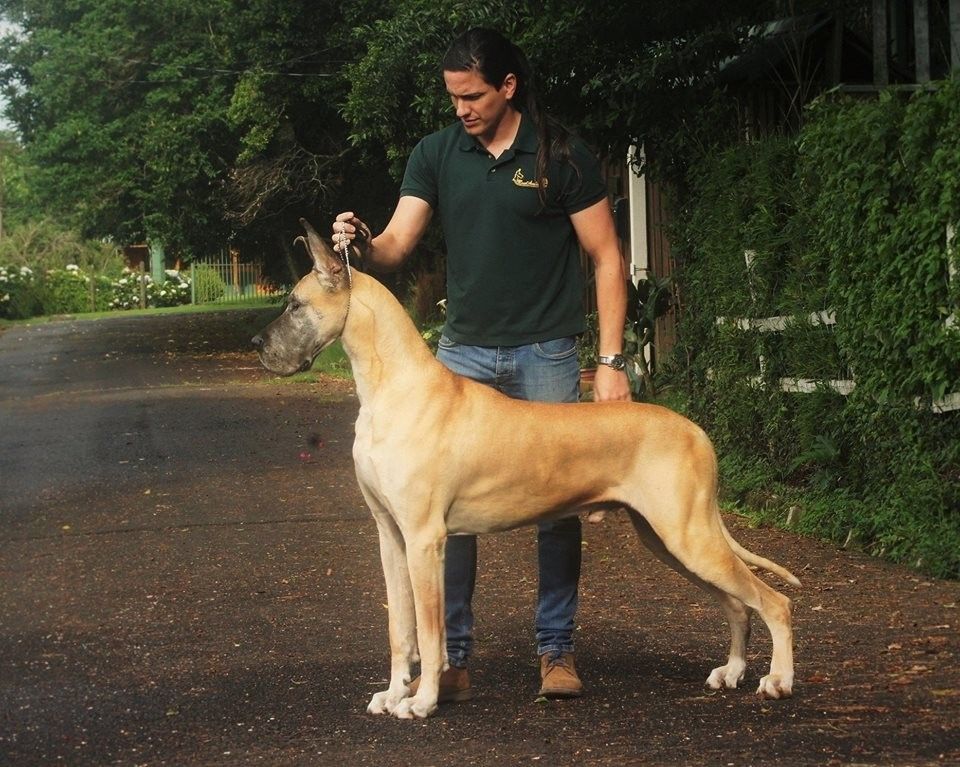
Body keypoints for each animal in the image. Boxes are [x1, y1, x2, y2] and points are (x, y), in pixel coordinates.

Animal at [252, 218, 800, 720]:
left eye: (295, 304)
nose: (258, 344)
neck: (392, 386)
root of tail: (698, 432)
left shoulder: (425, 538)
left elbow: (429, 632)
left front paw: (423, 701)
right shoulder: (390, 535)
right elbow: (399, 630)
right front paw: (392, 693)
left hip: (688, 536)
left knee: (772, 601)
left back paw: (777, 680)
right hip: (668, 539)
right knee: (736, 603)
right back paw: (731, 670)